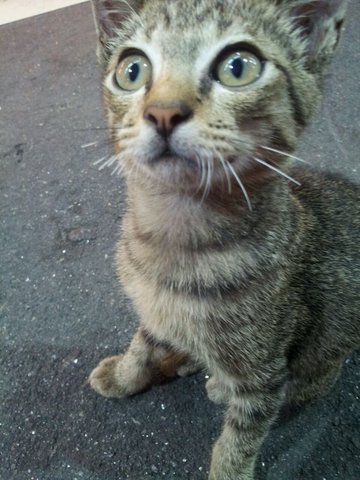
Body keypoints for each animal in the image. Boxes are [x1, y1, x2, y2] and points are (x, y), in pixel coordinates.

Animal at [89, 0, 358, 480]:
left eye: (238, 67)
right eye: (132, 70)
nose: (163, 112)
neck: (174, 238)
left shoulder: (265, 374)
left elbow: (240, 439)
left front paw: (228, 466)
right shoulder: (154, 309)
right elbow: (142, 343)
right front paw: (125, 375)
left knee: (309, 384)